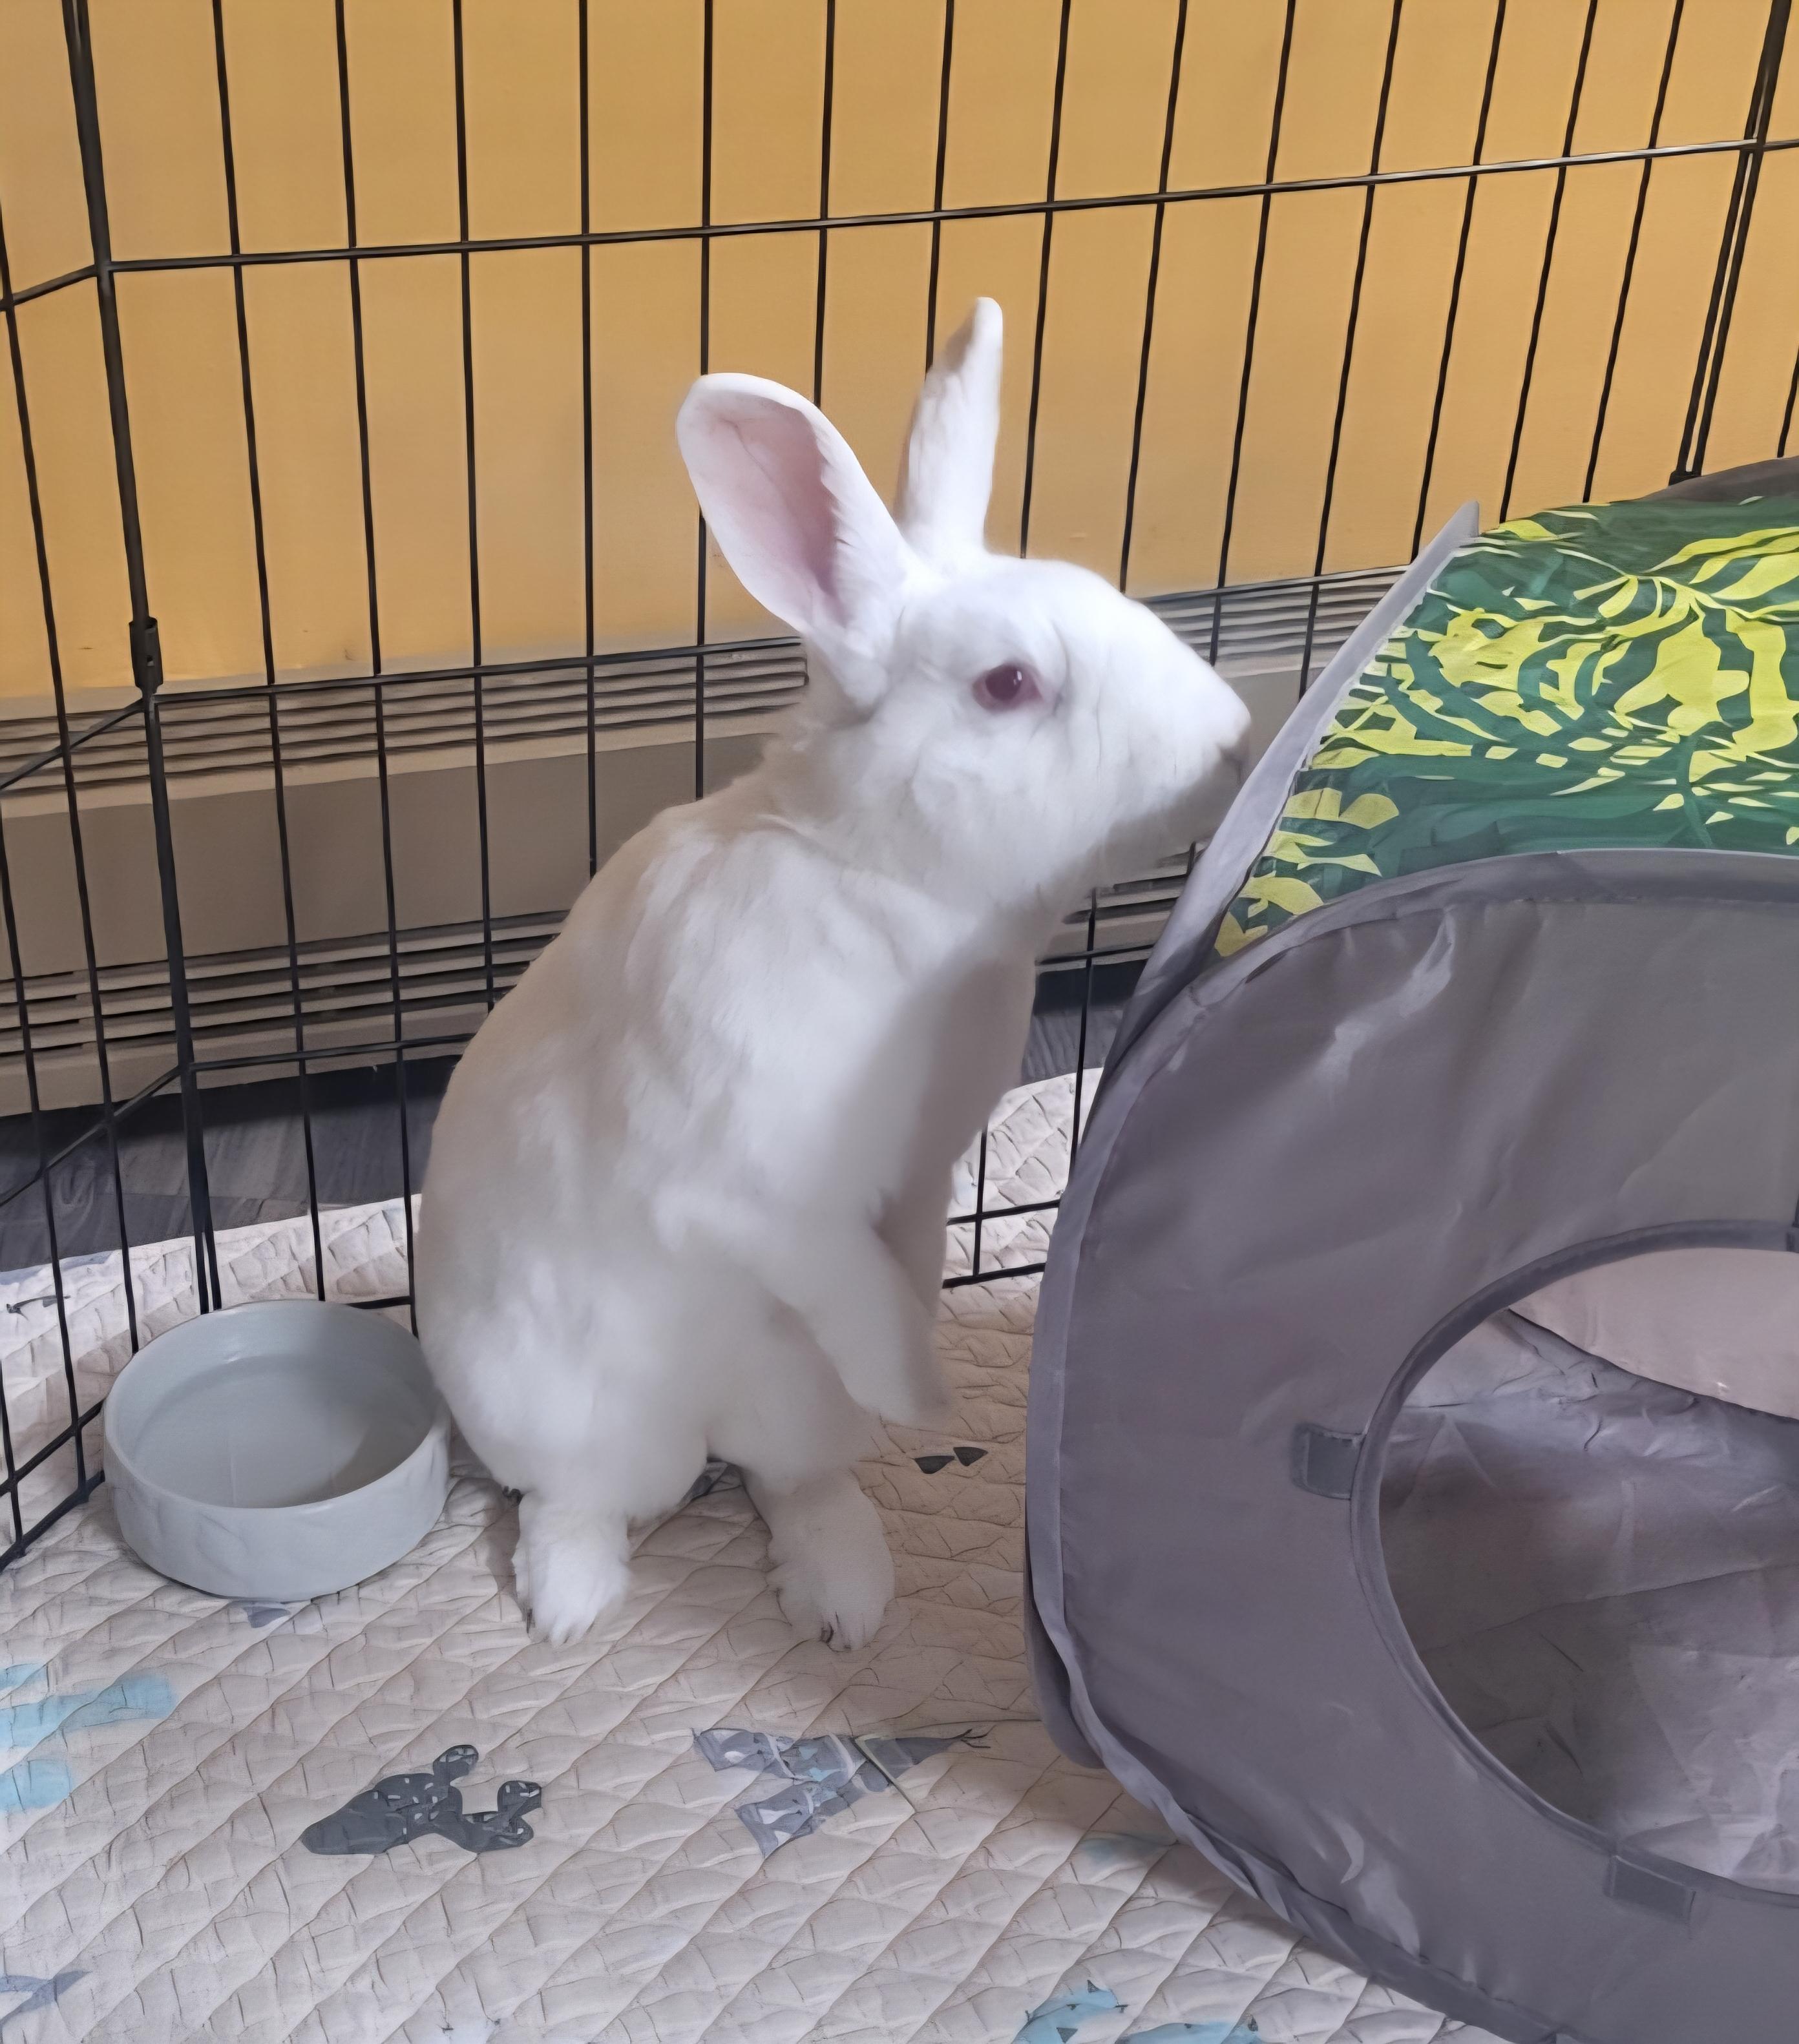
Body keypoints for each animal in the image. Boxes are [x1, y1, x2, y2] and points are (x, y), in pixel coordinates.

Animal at [414, 298, 1249, 1650]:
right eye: (1007, 684)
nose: (1231, 740)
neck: (873, 877)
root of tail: (694, 1437)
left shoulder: (919, 1179)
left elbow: (896, 1265)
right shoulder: (758, 1195)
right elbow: (851, 1286)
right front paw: (927, 1389)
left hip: (789, 1403)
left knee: (790, 1480)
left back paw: (846, 1598)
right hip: (564, 1410)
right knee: (576, 1498)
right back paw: (574, 1604)